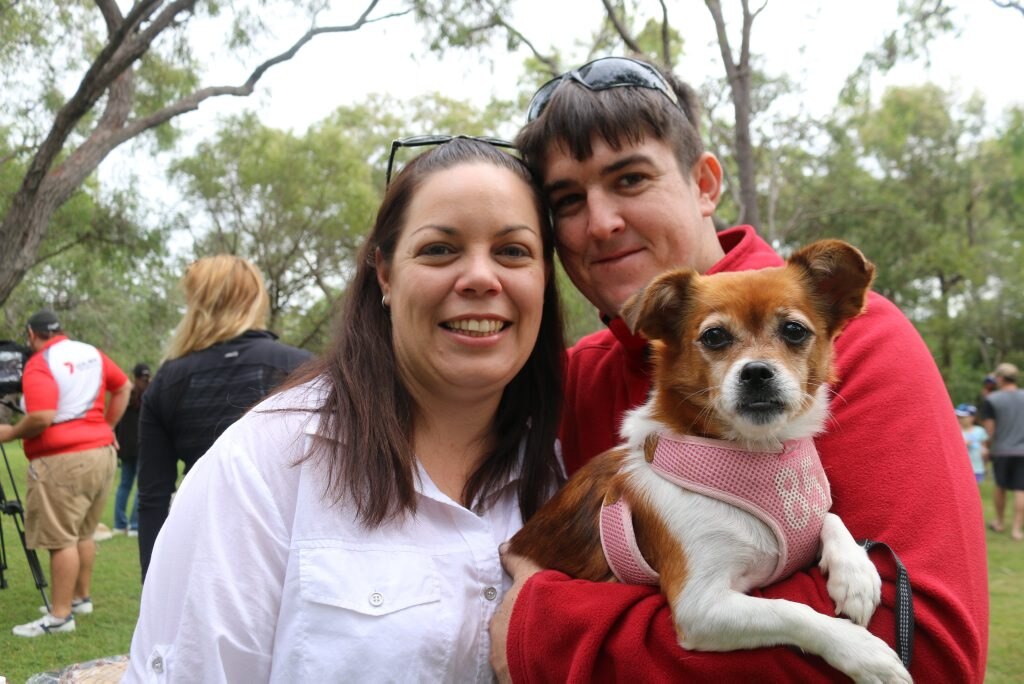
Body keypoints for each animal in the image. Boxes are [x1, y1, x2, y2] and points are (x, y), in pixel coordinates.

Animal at [509, 239, 913, 679]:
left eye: (794, 330)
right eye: (715, 336)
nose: (756, 372)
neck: (759, 456)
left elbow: (829, 517)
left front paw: (855, 572)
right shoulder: (701, 606)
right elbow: (791, 610)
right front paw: (862, 651)